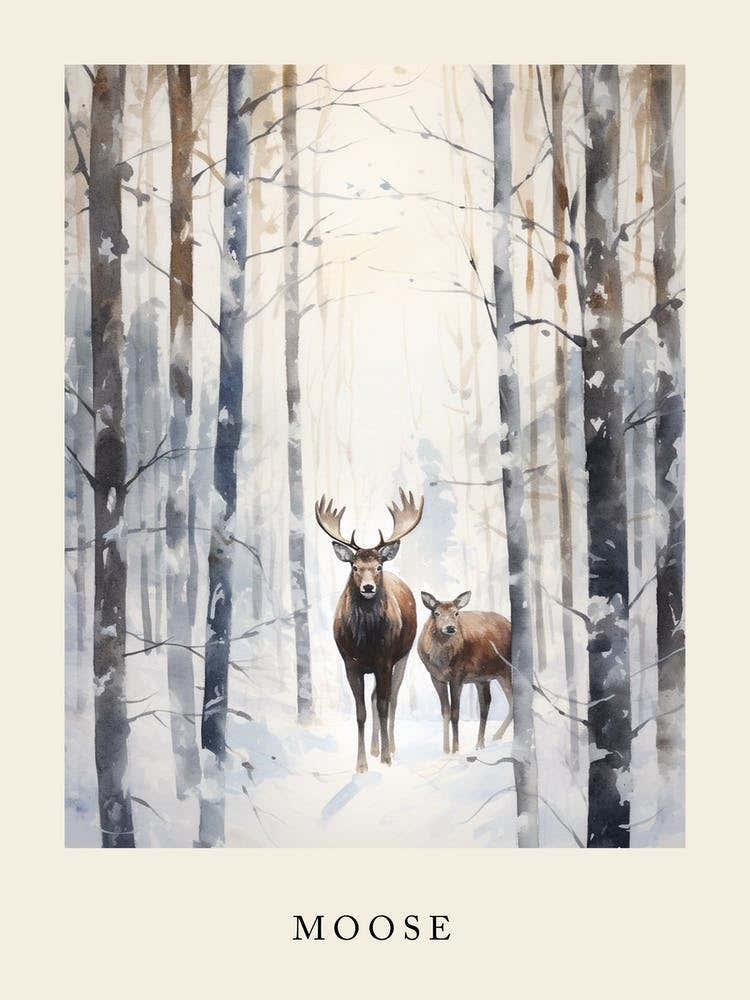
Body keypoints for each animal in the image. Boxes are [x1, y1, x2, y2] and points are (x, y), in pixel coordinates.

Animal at [315, 489, 424, 773]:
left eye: (378, 567)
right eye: (354, 566)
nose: (367, 588)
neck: (365, 641)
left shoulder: (384, 660)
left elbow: (385, 706)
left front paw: (386, 758)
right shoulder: (350, 663)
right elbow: (361, 712)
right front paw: (361, 763)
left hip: (404, 655)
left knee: (392, 698)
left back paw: (390, 747)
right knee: (375, 698)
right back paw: (375, 748)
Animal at [417, 591, 513, 754]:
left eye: (456, 613)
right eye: (436, 613)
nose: (450, 628)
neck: (441, 662)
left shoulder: (458, 675)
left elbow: (455, 713)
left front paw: (455, 749)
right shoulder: (436, 677)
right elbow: (445, 712)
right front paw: (445, 749)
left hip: (507, 670)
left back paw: (495, 736)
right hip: (484, 678)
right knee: (486, 705)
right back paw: (481, 743)